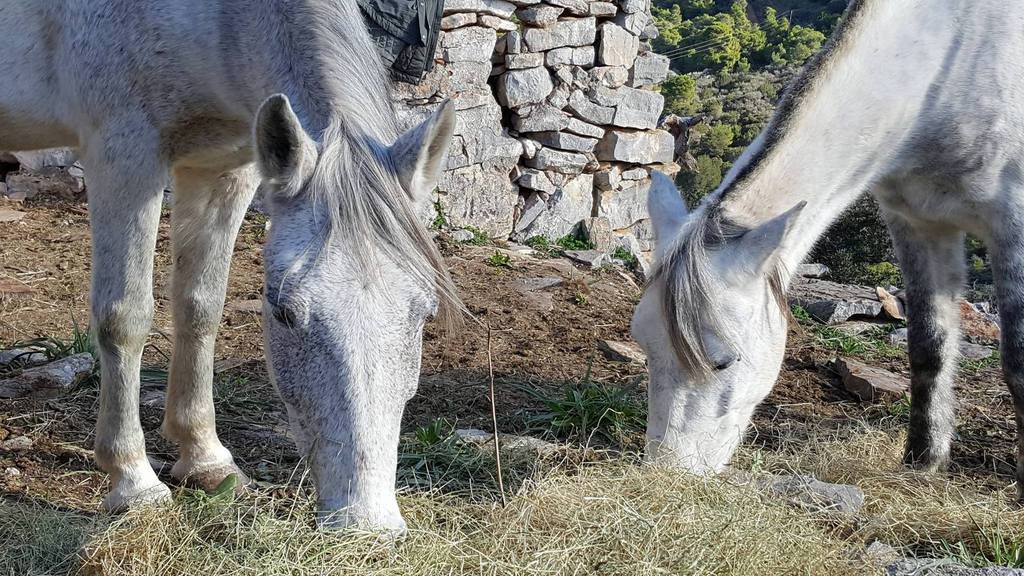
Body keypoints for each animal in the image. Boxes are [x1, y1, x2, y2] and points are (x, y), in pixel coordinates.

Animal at [0, 0, 461, 534]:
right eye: (284, 313)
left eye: (425, 314)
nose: (366, 522)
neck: (216, 18)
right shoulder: (123, 155)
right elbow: (125, 319)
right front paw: (134, 481)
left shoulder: (225, 166)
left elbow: (201, 307)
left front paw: (205, 458)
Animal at [634, 0, 1024, 497]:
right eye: (644, 346)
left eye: (723, 362)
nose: (667, 474)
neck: (953, 64)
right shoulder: (918, 222)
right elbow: (928, 346)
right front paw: (922, 463)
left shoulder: (1013, 221)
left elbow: (1017, 363)